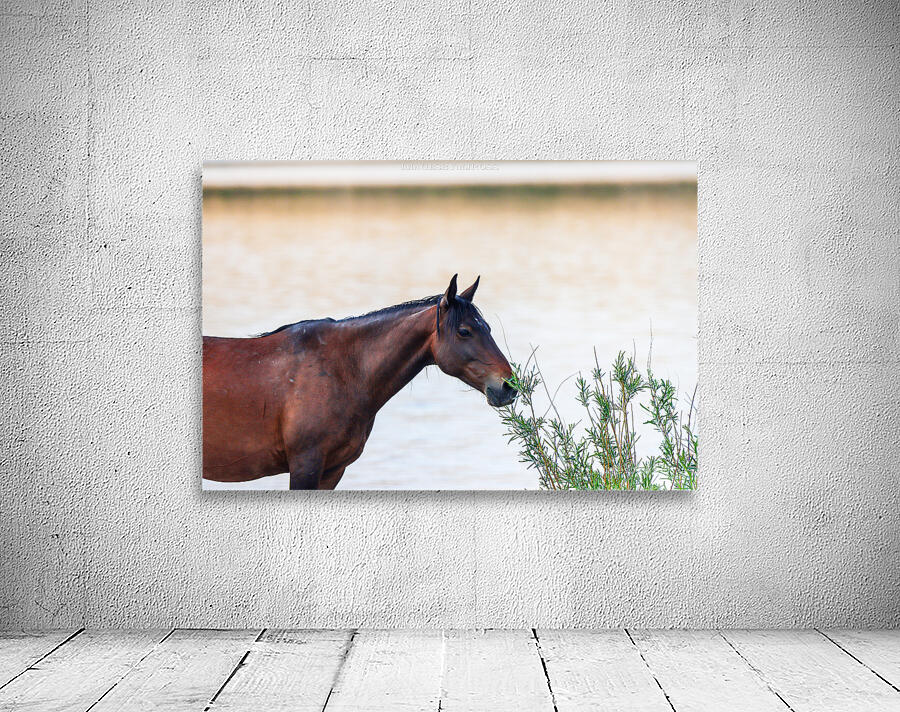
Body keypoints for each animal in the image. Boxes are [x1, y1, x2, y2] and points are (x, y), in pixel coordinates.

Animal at [202, 275, 517, 490]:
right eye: (464, 331)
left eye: (488, 328)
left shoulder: (332, 471)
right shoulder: (305, 465)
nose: (508, 386)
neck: (343, 370)